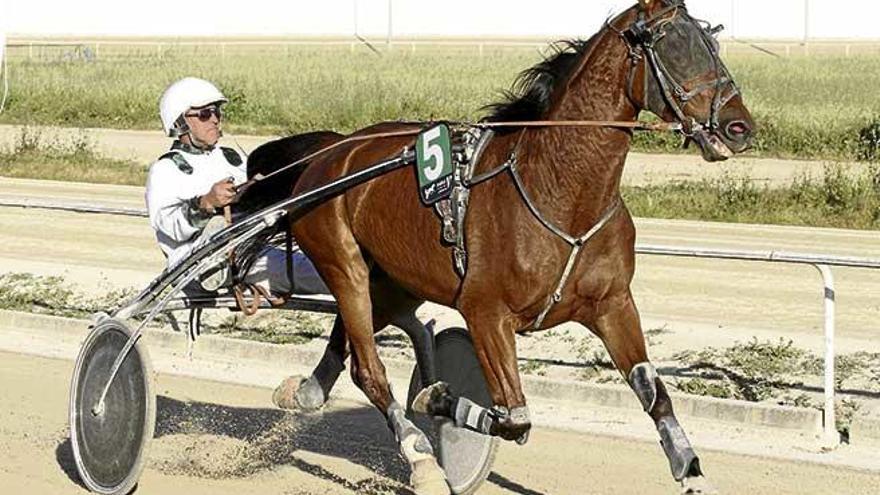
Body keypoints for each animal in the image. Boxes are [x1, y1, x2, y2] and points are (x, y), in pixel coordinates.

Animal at [253, 1, 748, 494]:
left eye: (713, 43)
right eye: (675, 46)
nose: (739, 126)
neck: (560, 192)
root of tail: (334, 150)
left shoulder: (613, 304)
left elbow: (654, 392)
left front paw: (691, 472)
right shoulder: (486, 313)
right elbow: (515, 419)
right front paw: (435, 397)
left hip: (392, 282)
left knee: (350, 345)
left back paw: (304, 391)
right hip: (345, 266)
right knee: (369, 371)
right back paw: (422, 458)